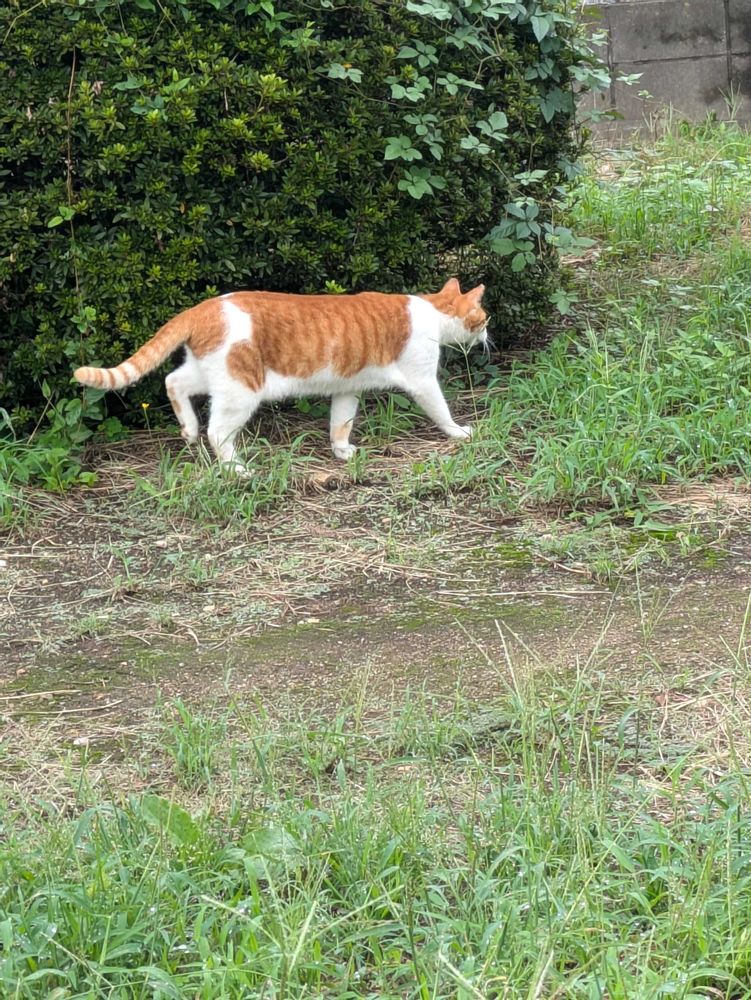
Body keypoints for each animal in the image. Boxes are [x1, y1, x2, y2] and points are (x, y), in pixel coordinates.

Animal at [73, 277, 488, 473]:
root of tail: (203, 306)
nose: (488, 335)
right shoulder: (422, 380)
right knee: (217, 432)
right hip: (241, 388)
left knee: (172, 382)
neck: (433, 311)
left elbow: (341, 423)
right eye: (484, 318)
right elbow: (440, 410)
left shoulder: (348, 388)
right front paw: (459, 432)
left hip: (209, 372)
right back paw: (236, 469)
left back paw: (187, 428)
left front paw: (341, 451)